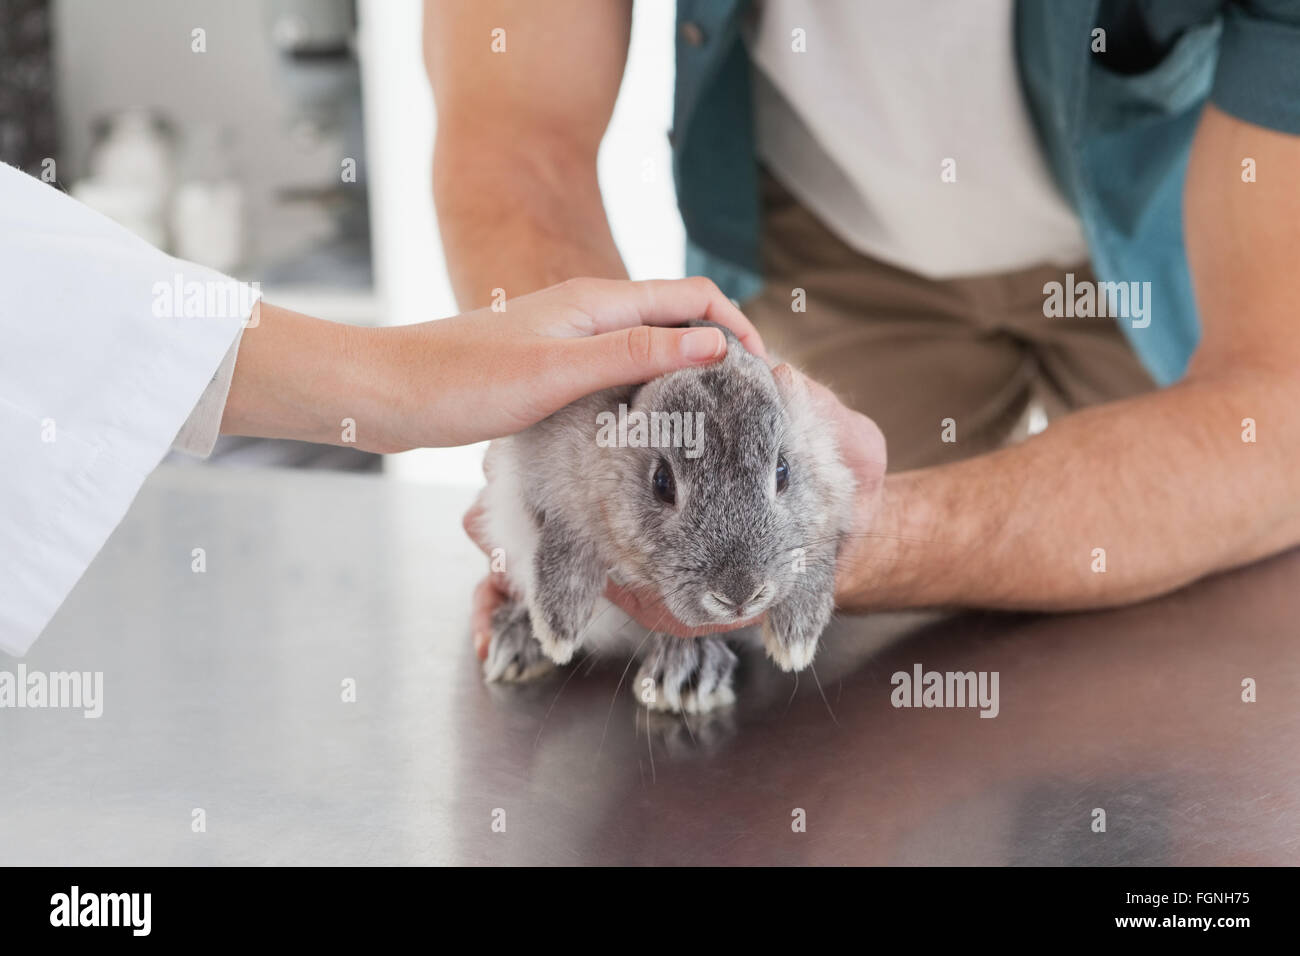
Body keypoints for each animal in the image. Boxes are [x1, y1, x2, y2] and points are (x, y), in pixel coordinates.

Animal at [474, 321, 856, 714]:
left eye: (782, 471)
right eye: (662, 482)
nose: (739, 595)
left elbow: (815, 553)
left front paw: (795, 643)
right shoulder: (553, 482)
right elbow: (565, 538)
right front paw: (557, 630)